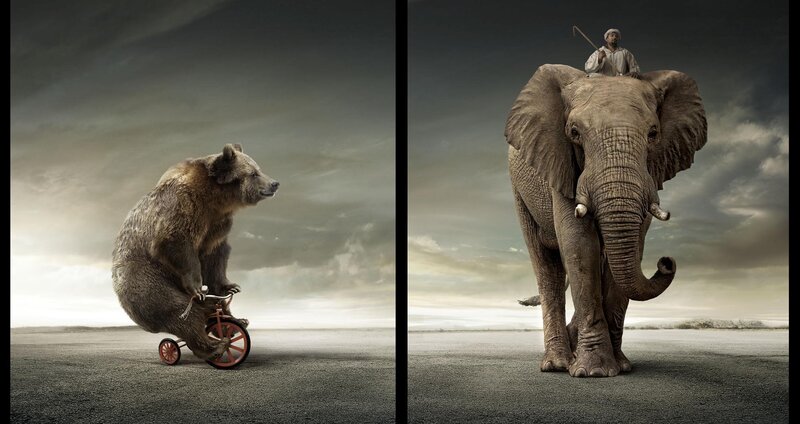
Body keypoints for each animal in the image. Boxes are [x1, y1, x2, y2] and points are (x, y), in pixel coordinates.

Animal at [112, 143, 279, 360]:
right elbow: (175, 242)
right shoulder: (182, 207)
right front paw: (198, 287)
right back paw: (214, 346)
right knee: (180, 311)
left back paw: (235, 322)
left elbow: (216, 256)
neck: (215, 199)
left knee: (209, 308)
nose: (275, 183)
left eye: (258, 169)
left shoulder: (216, 224)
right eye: (253, 173)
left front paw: (230, 287)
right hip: (145, 278)